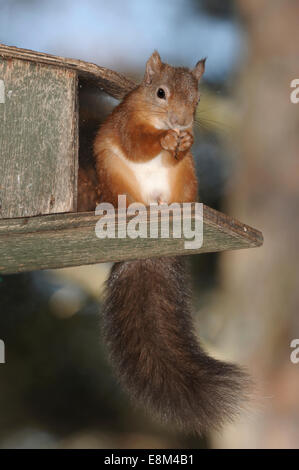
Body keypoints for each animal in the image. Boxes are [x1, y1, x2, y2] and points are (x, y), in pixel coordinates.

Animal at [92, 52, 250, 434]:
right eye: (161, 93)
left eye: (198, 99)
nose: (181, 122)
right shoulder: (125, 122)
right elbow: (137, 143)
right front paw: (164, 140)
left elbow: (179, 149)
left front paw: (183, 141)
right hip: (114, 176)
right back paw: (137, 207)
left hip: (187, 178)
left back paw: (169, 205)